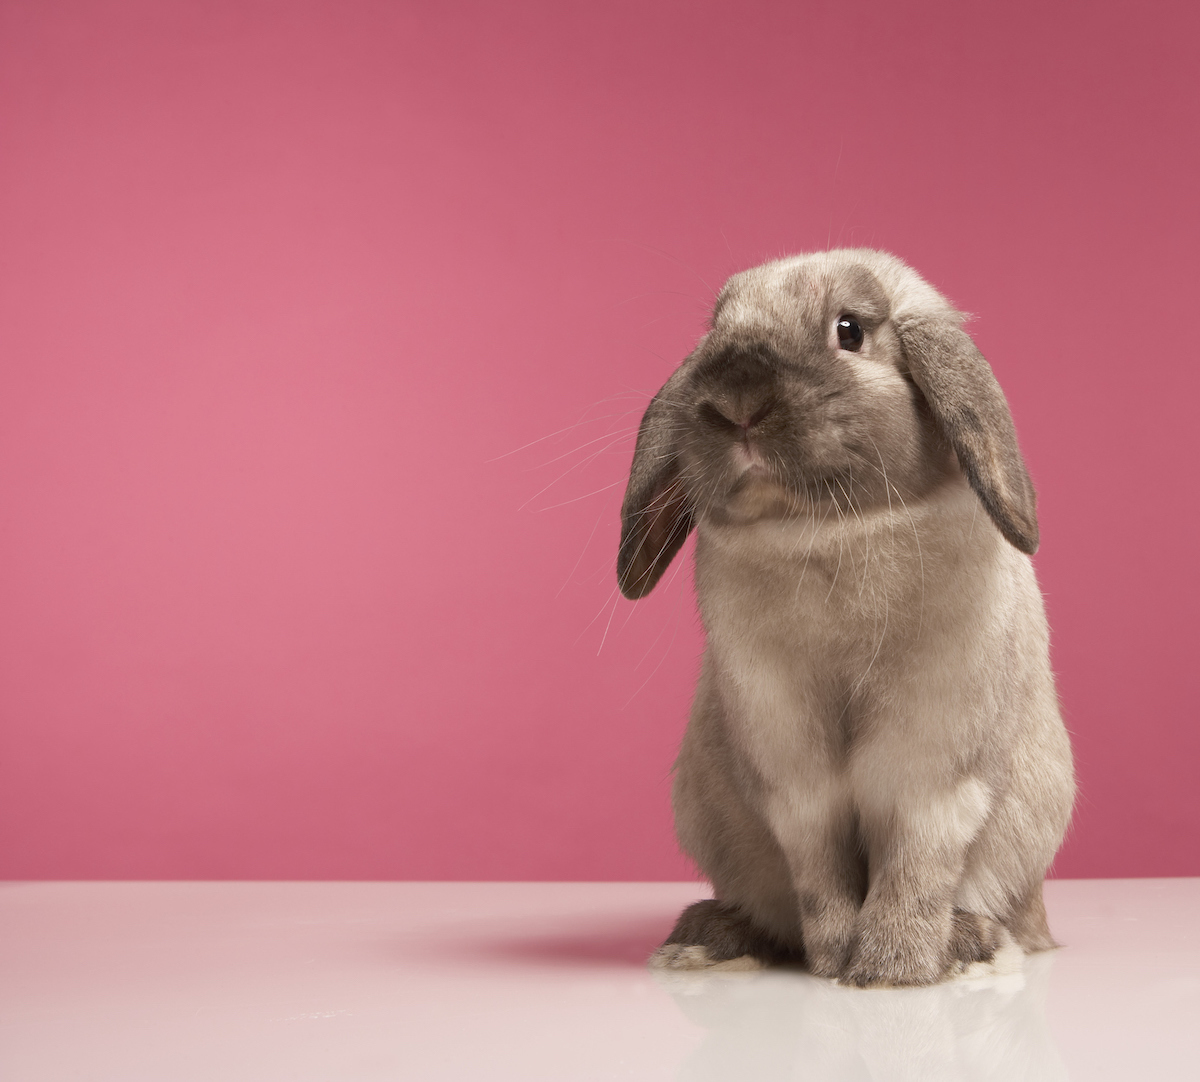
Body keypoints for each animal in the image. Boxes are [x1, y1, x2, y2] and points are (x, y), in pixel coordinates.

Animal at [614, 249, 1075, 988]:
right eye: (717, 328)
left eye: (850, 330)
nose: (736, 400)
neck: (827, 533)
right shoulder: (792, 772)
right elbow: (819, 867)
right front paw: (833, 959)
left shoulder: (934, 764)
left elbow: (916, 859)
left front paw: (892, 968)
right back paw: (708, 940)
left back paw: (969, 945)